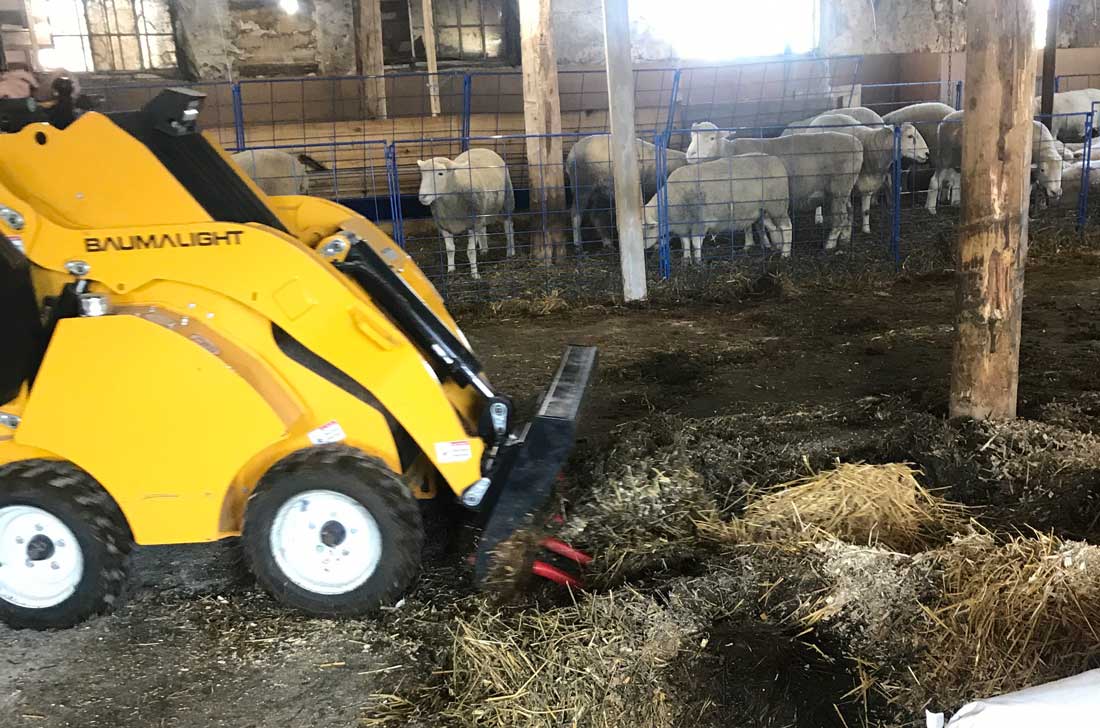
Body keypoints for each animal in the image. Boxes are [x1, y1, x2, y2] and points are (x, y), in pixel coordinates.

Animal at [415, 148, 514, 279]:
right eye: (422, 174)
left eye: (441, 173)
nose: (423, 196)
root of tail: (483, 149)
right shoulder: (443, 225)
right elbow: (450, 249)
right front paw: (451, 270)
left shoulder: (473, 223)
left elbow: (470, 251)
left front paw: (475, 274)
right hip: (482, 211)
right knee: (483, 229)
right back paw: (484, 250)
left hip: (507, 198)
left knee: (508, 227)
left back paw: (510, 252)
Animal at [642, 152, 796, 260]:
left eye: (644, 229)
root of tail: (775, 160)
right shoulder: (683, 226)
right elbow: (685, 243)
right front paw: (686, 259)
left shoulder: (700, 222)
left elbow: (695, 243)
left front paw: (698, 262)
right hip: (763, 210)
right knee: (772, 227)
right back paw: (775, 246)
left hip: (777, 205)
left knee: (786, 227)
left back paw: (785, 253)